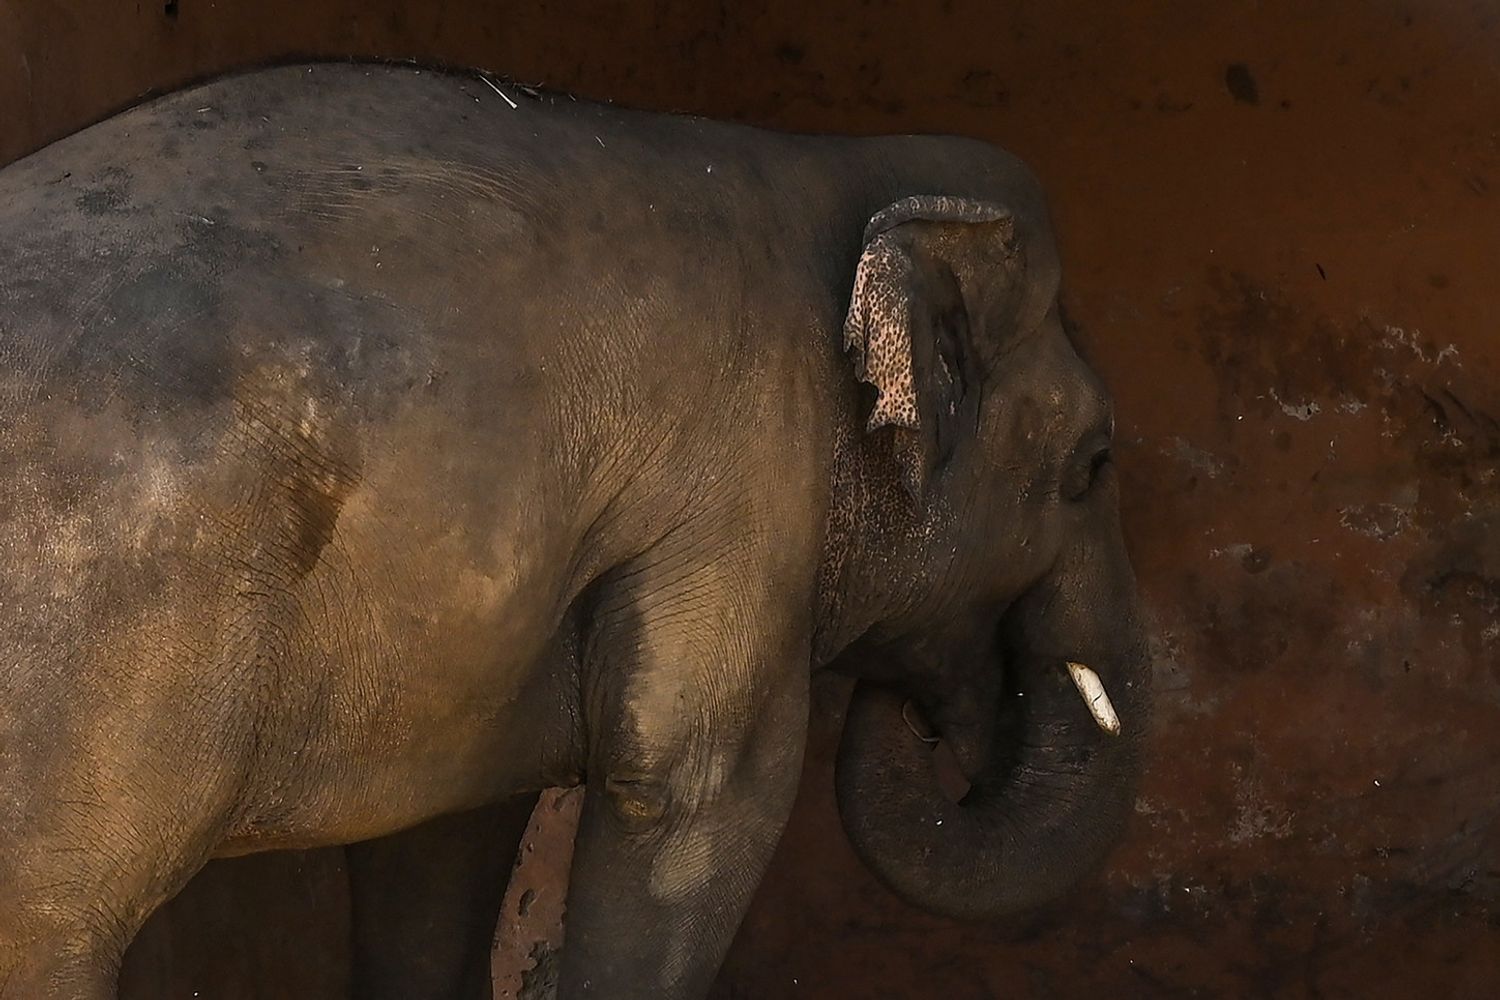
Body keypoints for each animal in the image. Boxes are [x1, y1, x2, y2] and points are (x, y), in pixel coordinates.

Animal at [0, 61, 1150, 999]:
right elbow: (697, 794)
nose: (915, 712)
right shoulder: (747, 478)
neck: (837, 176)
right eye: (1092, 466)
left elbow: (436, 845)